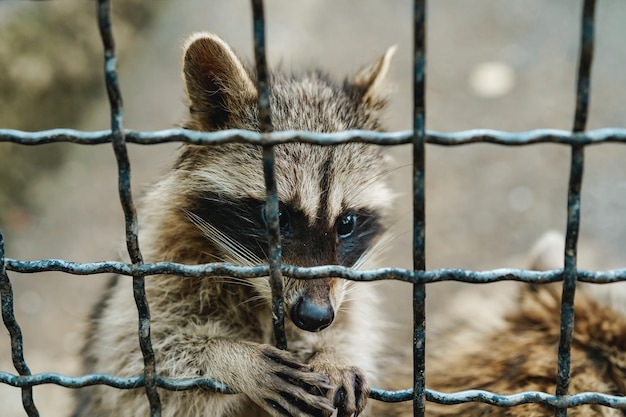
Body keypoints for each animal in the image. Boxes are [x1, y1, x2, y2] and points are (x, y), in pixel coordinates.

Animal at [72, 31, 394, 416]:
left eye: (346, 222)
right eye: (277, 217)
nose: (314, 317)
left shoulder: (344, 289)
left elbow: (353, 324)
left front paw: (331, 350)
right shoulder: (159, 263)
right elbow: (137, 363)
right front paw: (230, 358)